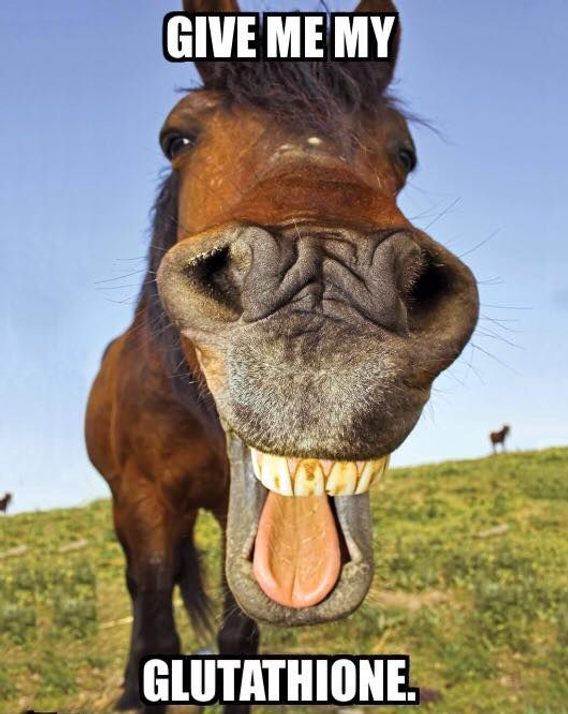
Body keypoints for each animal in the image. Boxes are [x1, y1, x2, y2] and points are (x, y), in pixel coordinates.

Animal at [85, 1, 479, 711]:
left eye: (405, 153)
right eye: (175, 138)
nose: (324, 309)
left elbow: (239, 637)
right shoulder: (142, 501)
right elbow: (155, 625)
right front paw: (133, 690)